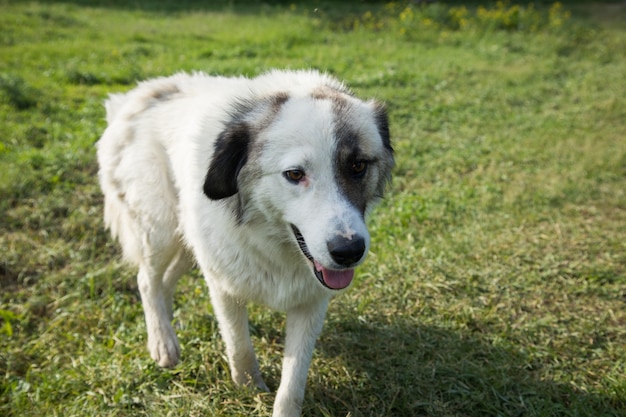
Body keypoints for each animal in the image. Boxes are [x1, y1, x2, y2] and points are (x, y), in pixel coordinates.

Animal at [96, 70, 390, 414]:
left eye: (358, 166)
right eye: (294, 174)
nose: (349, 251)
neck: (272, 240)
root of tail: (137, 95)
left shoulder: (311, 301)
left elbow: (294, 379)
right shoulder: (224, 287)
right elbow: (239, 345)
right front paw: (249, 388)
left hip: (189, 241)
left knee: (165, 281)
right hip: (161, 229)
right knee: (147, 280)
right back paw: (162, 342)